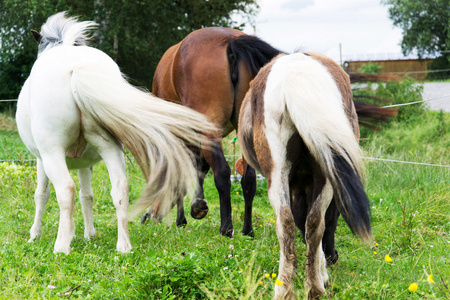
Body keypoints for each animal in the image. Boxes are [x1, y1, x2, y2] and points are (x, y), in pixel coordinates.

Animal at [15, 12, 216, 254]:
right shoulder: (84, 163)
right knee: (120, 187)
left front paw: (34, 235)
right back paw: (124, 246)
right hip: (109, 148)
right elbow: (87, 195)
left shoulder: (40, 158)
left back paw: (62, 246)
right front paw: (90, 234)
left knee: (65, 189)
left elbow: (41, 195)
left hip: (53, 153)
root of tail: (77, 67)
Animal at [239, 51, 372, 298]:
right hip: (323, 173)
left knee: (289, 220)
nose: (333, 257)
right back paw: (314, 287)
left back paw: (288, 288)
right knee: (314, 221)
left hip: (282, 172)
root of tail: (296, 74)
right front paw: (322, 271)